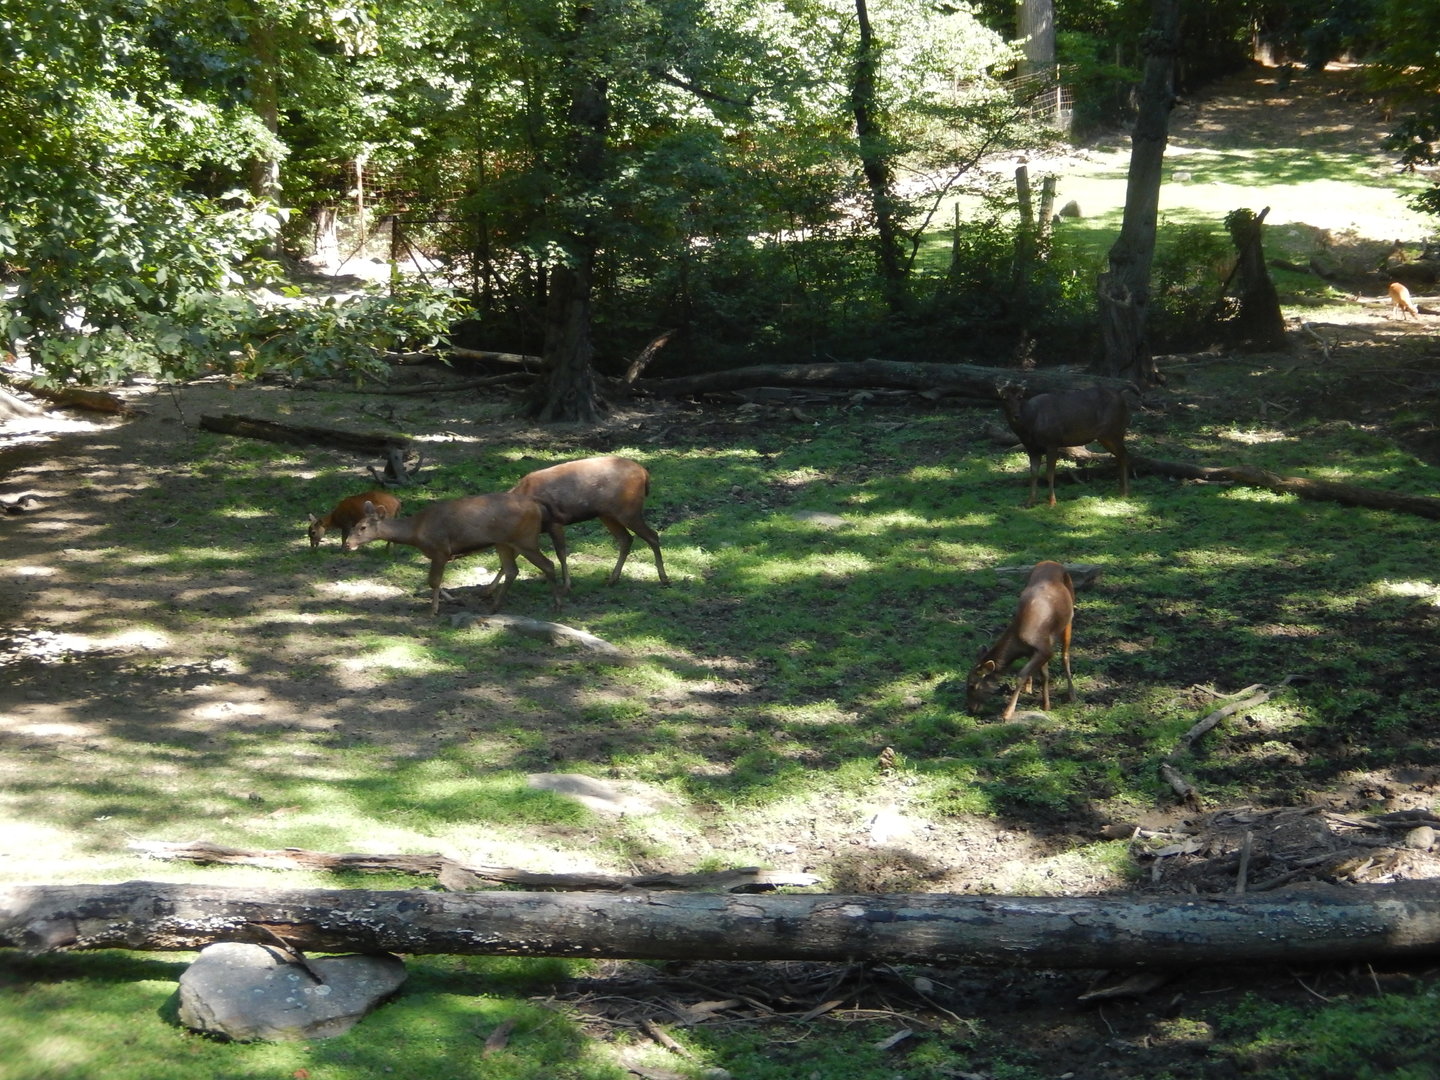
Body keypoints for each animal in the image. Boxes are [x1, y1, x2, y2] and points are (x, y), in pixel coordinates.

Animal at [342, 492, 562, 616]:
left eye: (362, 527)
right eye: (353, 525)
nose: (348, 545)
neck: (416, 532)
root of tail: (537, 506)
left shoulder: (440, 549)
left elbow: (433, 581)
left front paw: (433, 610)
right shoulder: (440, 554)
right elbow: (435, 582)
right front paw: (454, 600)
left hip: (526, 539)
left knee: (548, 564)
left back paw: (556, 604)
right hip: (504, 543)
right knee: (511, 570)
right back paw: (494, 607)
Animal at [506, 456, 669, 591]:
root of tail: (644, 473)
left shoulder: (555, 522)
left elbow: (561, 553)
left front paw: (567, 586)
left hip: (628, 510)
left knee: (652, 536)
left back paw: (664, 579)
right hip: (607, 514)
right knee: (626, 539)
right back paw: (612, 580)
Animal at [966, 561, 1075, 721]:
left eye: (972, 685)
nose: (971, 709)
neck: (1018, 643)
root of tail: (1051, 562)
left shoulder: (1045, 650)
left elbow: (1021, 675)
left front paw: (1007, 713)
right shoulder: (1038, 650)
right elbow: (1044, 675)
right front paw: (1046, 705)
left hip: (1069, 616)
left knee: (1065, 655)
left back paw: (1072, 693)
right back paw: (1029, 688)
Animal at [999, 384, 1130, 506]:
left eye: (1020, 397)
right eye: (1004, 398)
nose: (1016, 416)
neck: (1031, 424)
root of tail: (1120, 394)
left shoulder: (1052, 442)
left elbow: (1049, 473)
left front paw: (1052, 502)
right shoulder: (1032, 448)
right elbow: (1034, 473)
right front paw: (1029, 502)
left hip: (1115, 431)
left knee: (1124, 454)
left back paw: (1125, 492)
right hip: (1105, 436)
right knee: (1120, 455)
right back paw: (1121, 490)